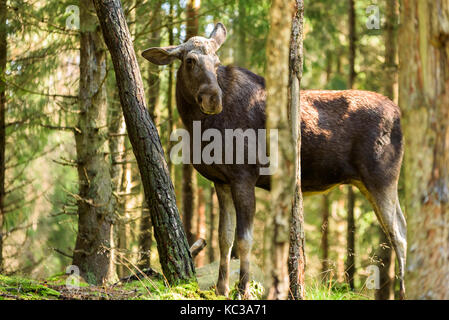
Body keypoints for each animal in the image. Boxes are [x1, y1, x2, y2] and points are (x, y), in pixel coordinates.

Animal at [143, 23, 406, 300]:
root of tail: (400, 113)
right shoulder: (221, 181)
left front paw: (242, 290)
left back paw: (404, 289)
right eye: (190, 61)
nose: (213, 98)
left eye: (217, 62)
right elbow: (224, 238)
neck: (199, 127)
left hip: (382, 177)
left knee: (399, 233)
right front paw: (221, 288)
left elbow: (244, 240)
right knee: (400, 228)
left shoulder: (244, 176)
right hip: (367, 182)